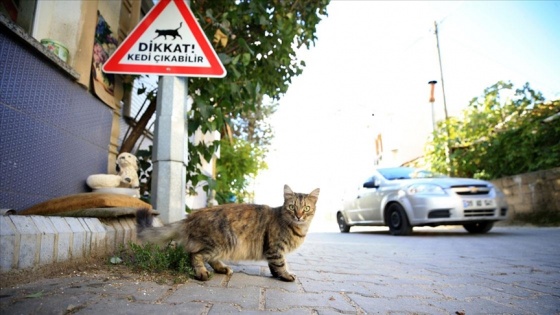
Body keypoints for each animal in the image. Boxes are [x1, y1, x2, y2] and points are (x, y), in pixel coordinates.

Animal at [136, 184, 320, 282]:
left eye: (306, 208)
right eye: (292, 207)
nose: (299, 215)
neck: (297, 228)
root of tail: (191, 216)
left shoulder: (272, 251)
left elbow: (274, 266)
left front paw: (277, 275)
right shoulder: (275, 248)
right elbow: (280, 264)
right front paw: (286, 275)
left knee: (209, 258)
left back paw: (223, 269)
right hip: (224, 242)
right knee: (195, 254)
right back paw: (202, 273)